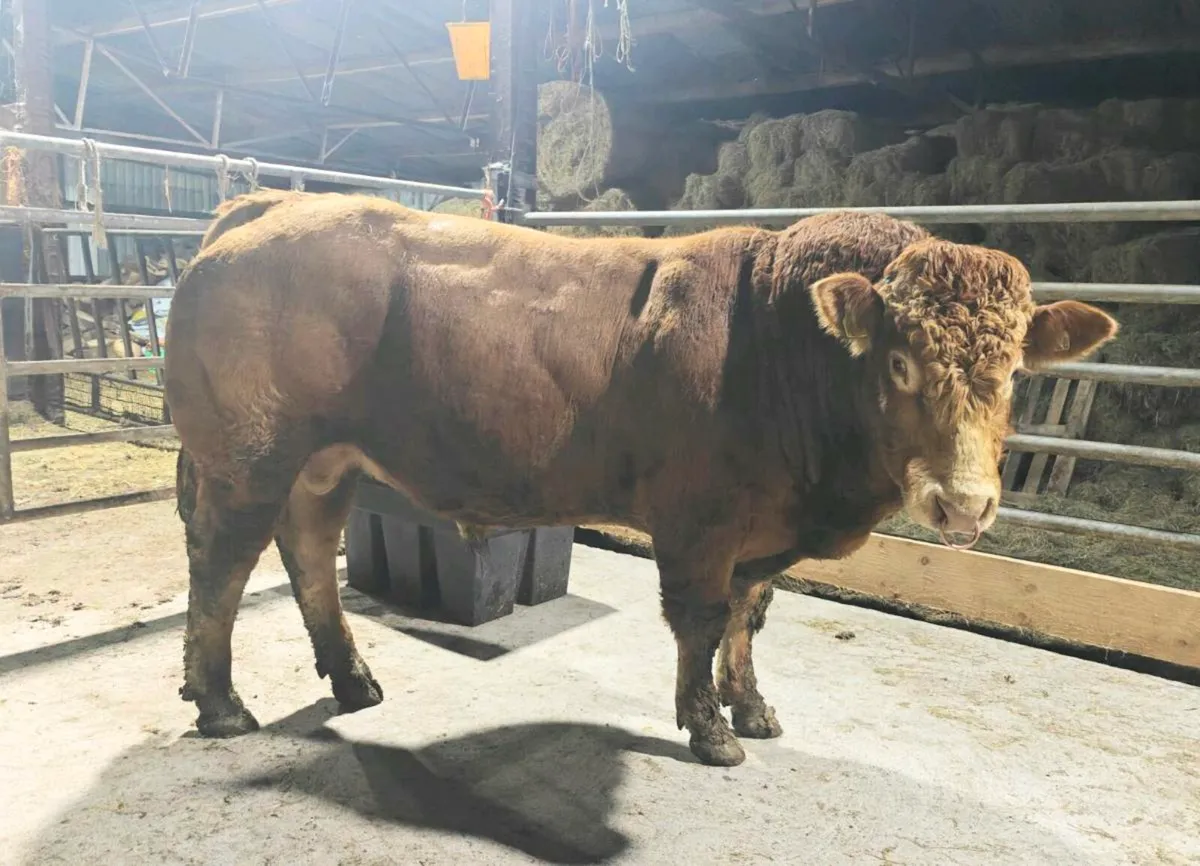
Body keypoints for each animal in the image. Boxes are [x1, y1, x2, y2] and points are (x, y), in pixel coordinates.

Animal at [165, 190, 1117, 766]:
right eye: (898, 362)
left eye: (1015, 371)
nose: (964, 503)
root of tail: (273, 203)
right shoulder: (701, 522)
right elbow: (701, 620)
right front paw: (710, 731)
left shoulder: (759, 532)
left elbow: (748, 619)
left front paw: (751, 707)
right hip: (247, 460)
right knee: (221, 568)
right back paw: (220, 704)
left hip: (320, 464)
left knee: (309, 552)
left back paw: (353, 680)